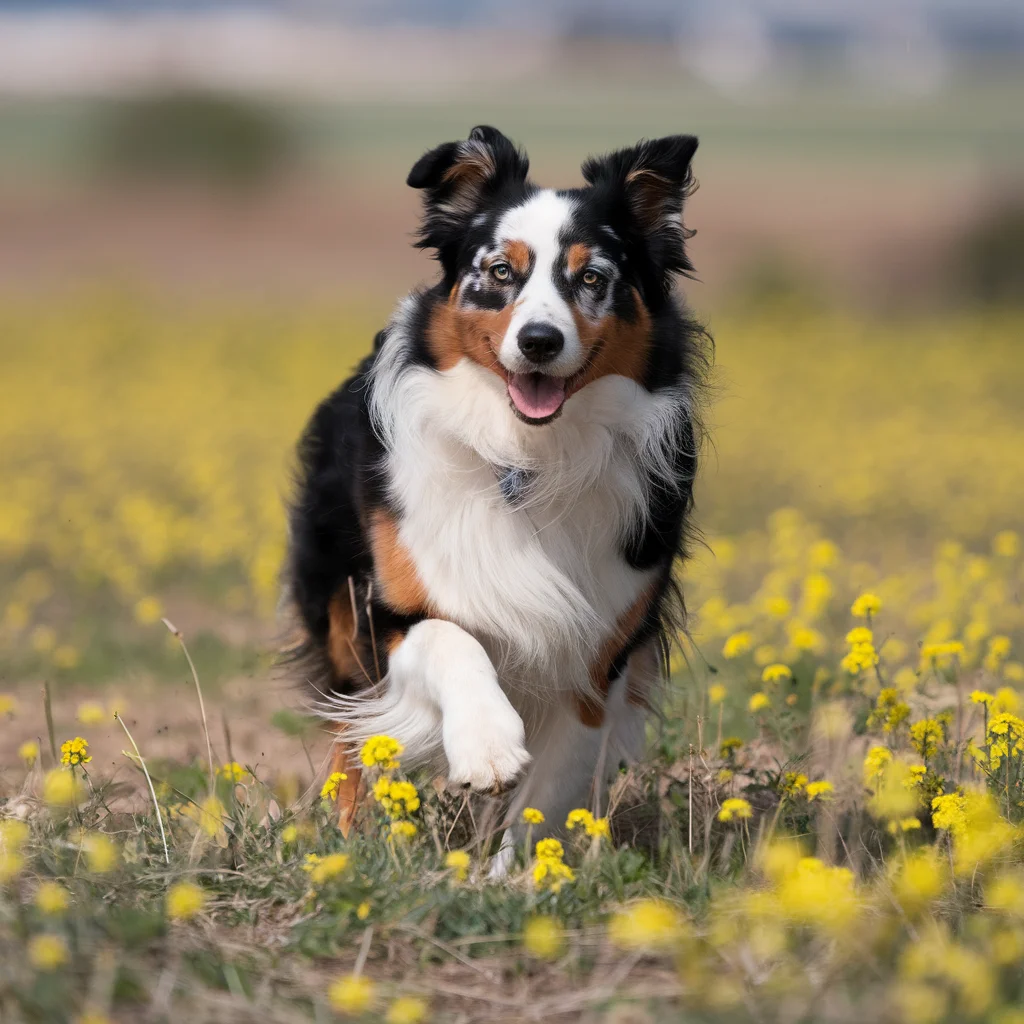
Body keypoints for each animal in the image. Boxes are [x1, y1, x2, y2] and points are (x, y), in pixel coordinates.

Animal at [284, 125, 708, 839]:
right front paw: (485, 745)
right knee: (351, 733)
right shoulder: (392, 609)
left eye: (592, 278)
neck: (527, 459)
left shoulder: (599, 660)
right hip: (339, 611)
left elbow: (541, 804)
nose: (539, 341)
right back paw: (345, 838)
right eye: (500, 272)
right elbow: (450, 638)